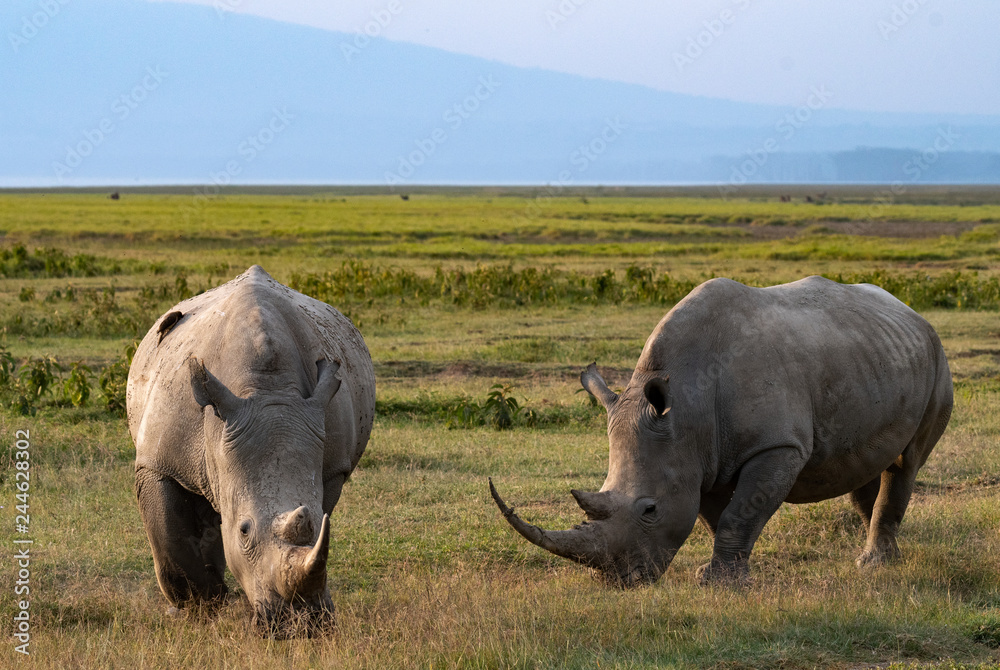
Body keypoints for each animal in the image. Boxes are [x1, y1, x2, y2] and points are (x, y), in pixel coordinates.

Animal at [127, 265, 375, 634]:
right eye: (244, 530)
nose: (299, 627)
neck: (266, 389)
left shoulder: (333, 467)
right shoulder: (159, 461)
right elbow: (170, 538)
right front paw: (200, 607)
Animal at [491, 276, 953, 587]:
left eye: (650, 510)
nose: (621, 581)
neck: (686, 408)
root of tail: (912, 313)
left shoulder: (776, 446)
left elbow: (739, 512)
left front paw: (720, 584)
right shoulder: (701, 456)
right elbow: (717, 516)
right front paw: (720, 574)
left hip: (937, 361)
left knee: (907, 461)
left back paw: (875, 564)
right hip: (875, 357)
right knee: (866, 466)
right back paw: (874, 554)